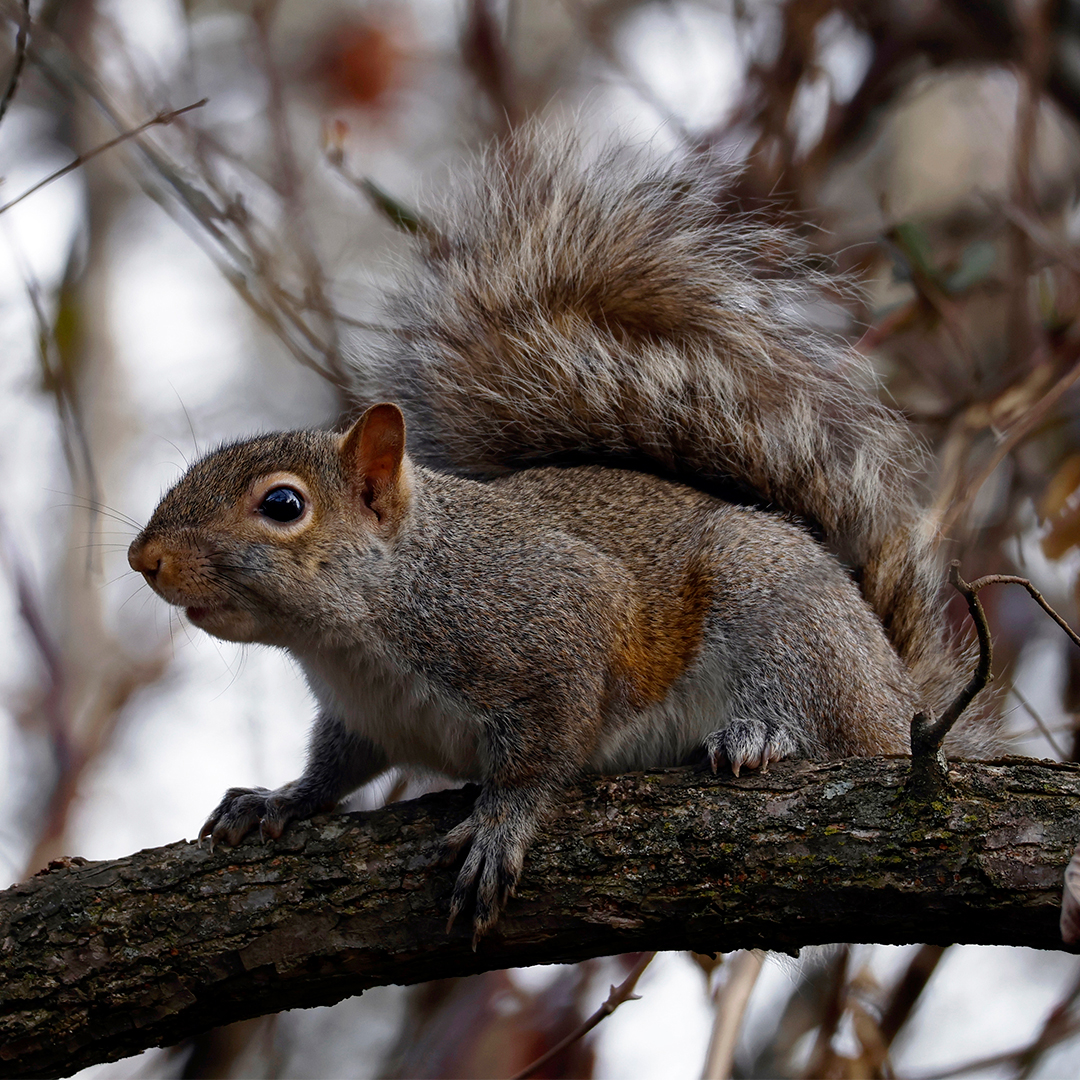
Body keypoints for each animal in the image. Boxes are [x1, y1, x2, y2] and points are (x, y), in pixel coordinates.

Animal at [124, 126, 989, 941]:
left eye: (281, 505)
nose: (143, 558)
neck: (356, 635)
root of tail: (898, 696)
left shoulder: (549, 626)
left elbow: (544, 753)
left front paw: (501, 826)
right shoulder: (364, 716)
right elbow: (337, 766)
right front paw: (280, 798)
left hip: (781, 611)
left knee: (819, 716)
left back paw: (764, 733)